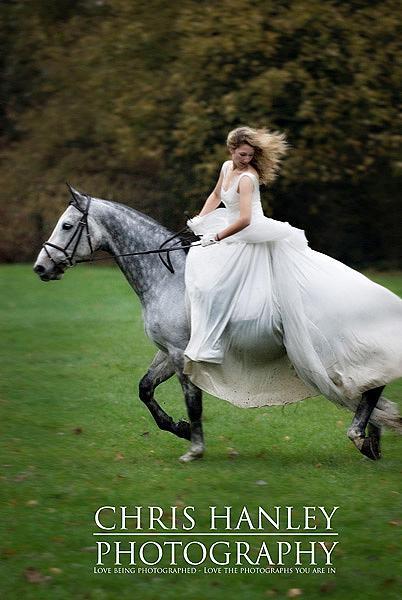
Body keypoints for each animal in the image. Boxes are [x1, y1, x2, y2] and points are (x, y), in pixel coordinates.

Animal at [33, 190, 398, 462]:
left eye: (67, 226)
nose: (40, 267)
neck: (169, 279)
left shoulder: (181, 353)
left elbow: (192, 399)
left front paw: (194, 447)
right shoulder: (166, 352)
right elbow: (145, 388)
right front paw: (178, 428)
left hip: (331, 352)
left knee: (370, 384)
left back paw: (361, 437)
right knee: (368, 386)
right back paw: (372, 441)